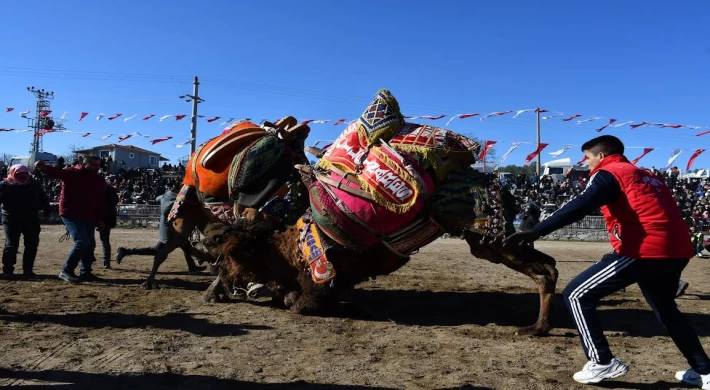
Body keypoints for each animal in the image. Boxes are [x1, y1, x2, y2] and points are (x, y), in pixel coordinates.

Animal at [197, 90, 560, 336]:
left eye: (223, 247)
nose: (206, 247)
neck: (289, 246)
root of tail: (500, 185)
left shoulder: (321, 278)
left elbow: (298, 302)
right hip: (494, 240)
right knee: (549, 265)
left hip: (488, 237)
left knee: (544, 271)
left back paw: (536, 328)